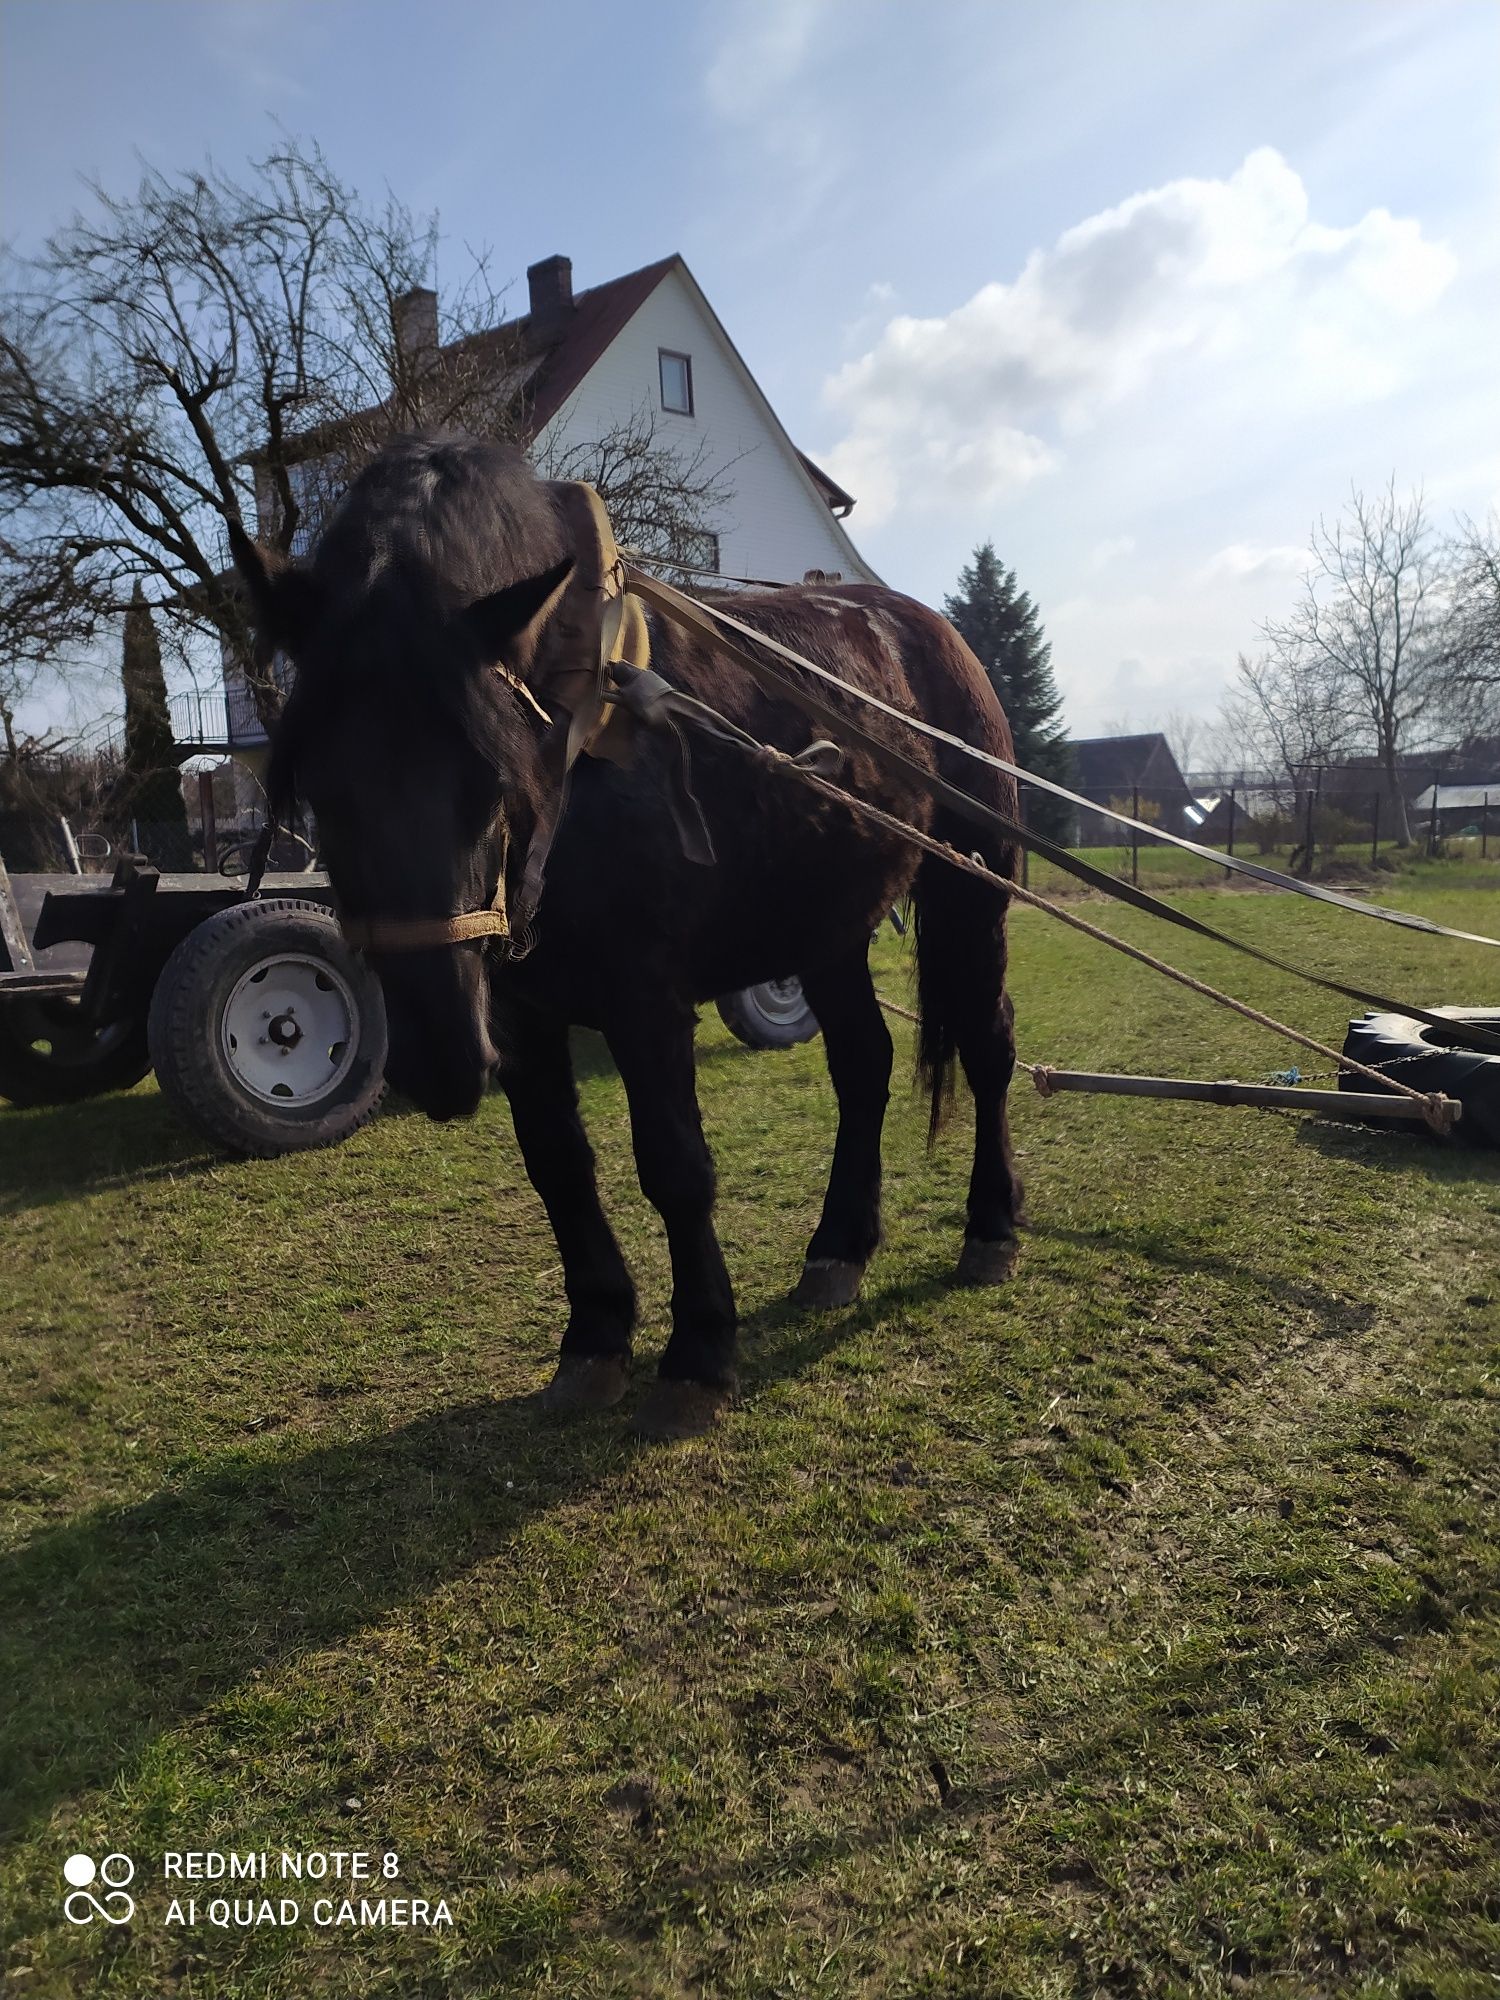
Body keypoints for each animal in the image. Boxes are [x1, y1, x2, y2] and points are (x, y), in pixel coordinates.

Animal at [232, 438, 1032, 1440]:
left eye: (490, 775)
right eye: (317, 786)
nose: (442, 1059)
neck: (583, 744)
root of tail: (932, 630)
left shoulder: (646, 1002)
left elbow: (675, 1167)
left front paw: (699, 1353)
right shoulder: (519, 1013)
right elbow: (557, 1166)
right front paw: (596, 1336)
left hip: (971, 895)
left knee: (988, 1047)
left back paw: (990, 1227)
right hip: (826, 926)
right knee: (864, 1064)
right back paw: (839, 1248)